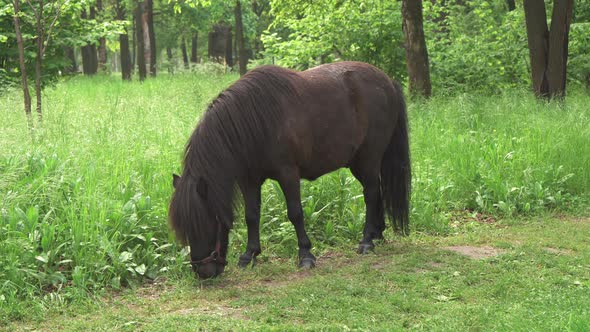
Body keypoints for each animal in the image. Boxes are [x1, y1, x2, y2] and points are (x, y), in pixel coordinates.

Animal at [171, 61, 412, 278]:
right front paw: (250, 255)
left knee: (370, 194)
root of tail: (388, 81)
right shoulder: (249, 180)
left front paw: (305, 255)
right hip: (358, 163)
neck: (255, 121)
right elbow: (252, 216)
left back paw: (367, 242)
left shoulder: (288, 174)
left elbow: (295, 213)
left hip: (369, 158)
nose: (203, 273)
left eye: (206, 222)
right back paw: (377, 234)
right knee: (376, 192)